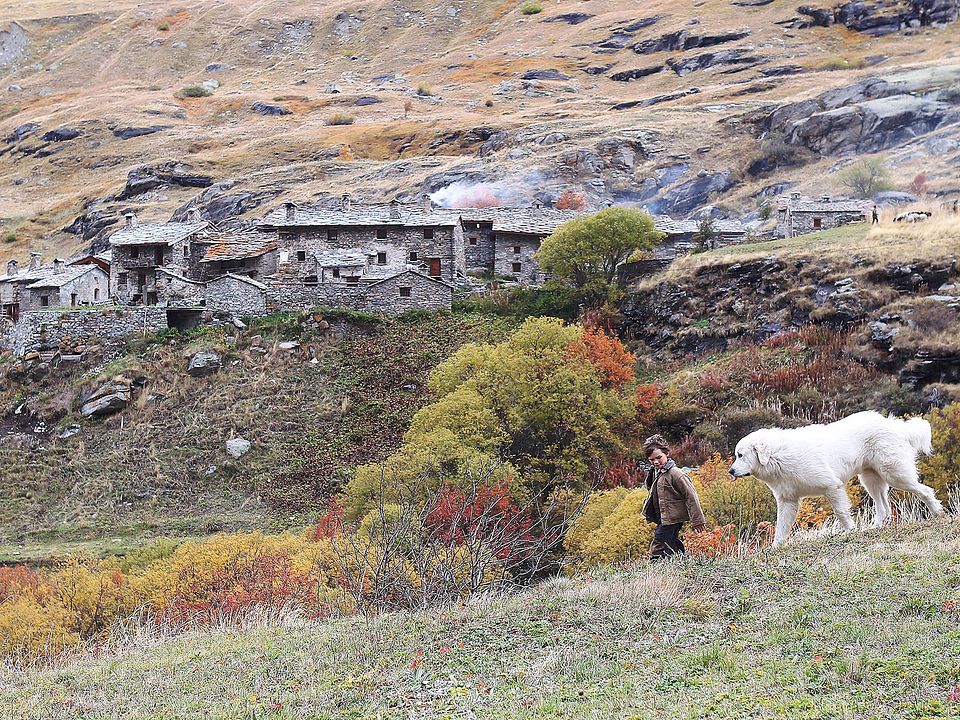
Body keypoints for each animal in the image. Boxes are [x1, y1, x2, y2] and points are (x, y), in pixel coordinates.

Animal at [728, 410, 944, 544]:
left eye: (740, 455)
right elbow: (781, 526)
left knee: (924, 491)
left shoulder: (831, 487)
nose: (730, 471)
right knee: (883, 506)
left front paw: (850, 531)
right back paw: (874, 527)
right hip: (870, 479)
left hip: (895, 473)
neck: (778, 457)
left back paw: (937, 513)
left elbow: (841, 513)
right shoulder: (788, 501)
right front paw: (776, 547)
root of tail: (892, 423)